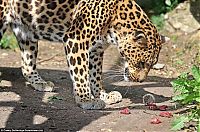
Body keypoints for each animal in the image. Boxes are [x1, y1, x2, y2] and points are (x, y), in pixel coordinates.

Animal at [0, 0, 169, 109]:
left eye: (151, 65)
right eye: (141, 63)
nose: (140, 81)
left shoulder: (96, 49)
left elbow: (95, 75)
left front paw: (103, 95)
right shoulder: (76, 39)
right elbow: (81, 73)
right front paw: (86, 100)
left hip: (25, 31)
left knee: (27, 65)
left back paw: (40, 83)